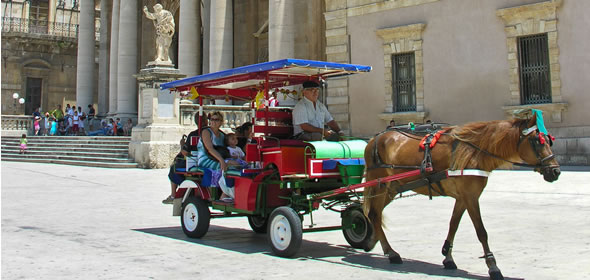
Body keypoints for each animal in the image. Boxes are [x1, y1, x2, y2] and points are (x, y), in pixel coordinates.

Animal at [364, 112, 560, 280]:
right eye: (537, 141)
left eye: (549, 141)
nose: (556, 171)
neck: (475, 152)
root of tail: (374, 139)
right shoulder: (470, 197)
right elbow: (481, 231)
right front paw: (493, 266)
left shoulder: (462, 197)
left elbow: (453, 225)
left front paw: (448, 256)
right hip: (378, 184)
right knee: (373, 213)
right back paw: (390, 251)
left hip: (391, 187)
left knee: (375, 214)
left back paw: (378, 243)